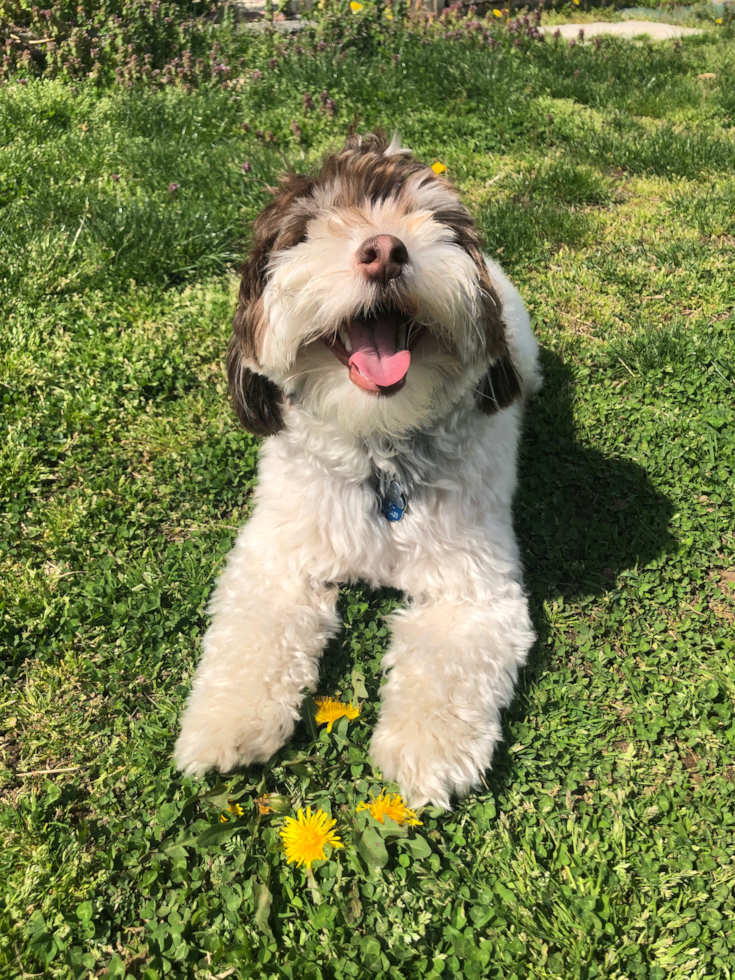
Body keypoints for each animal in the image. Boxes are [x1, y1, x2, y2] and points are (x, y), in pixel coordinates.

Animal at [173, 130, 540, 808]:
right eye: (309, 228)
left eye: (431, 221)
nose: (385, 250)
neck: (380, 453)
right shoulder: (276, 556)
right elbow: (249, 637)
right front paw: (225, 724)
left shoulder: (473, 588)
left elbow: (447, 666)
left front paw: (427, 751)